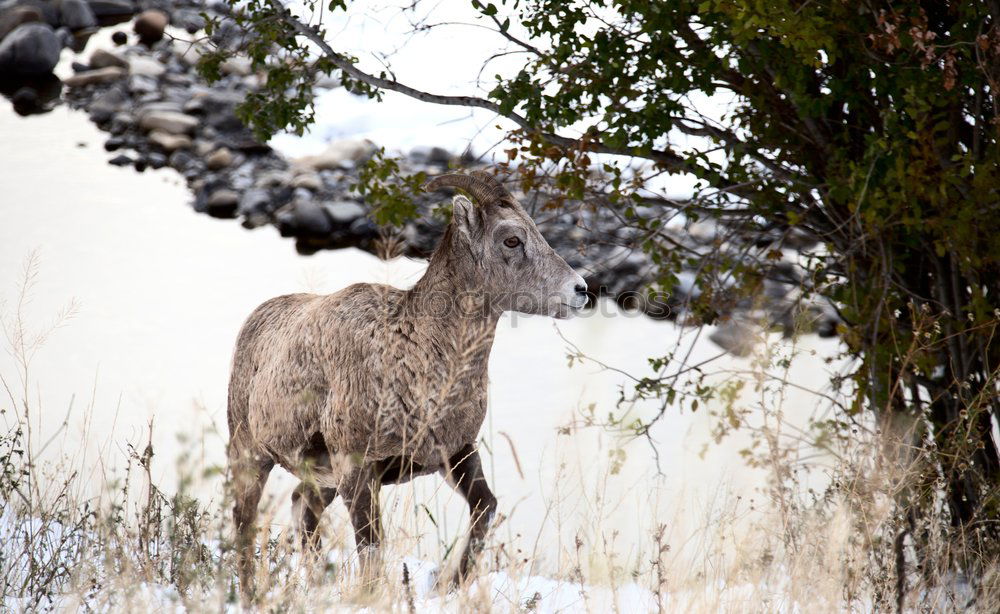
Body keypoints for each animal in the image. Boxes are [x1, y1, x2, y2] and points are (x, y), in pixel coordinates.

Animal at [227, 170, 584, 600]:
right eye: (511, 240)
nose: (581, 289)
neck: (419, 360)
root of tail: (256, 319)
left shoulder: (457, 454)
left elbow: (485, 508)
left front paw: (449, 583)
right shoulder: (358, 470)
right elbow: (371, 549)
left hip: (321, 480)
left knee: (303, 508)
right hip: (251, 454)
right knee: (244, 521)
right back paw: (250, 594)